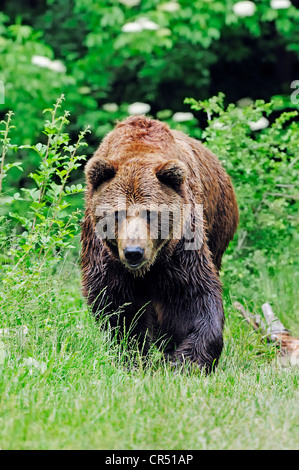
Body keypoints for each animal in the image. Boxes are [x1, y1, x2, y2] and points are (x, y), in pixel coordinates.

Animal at [80, 114, 239, 370]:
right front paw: (132, 354)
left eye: (150, 213)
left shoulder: (182, 246)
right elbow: (118, 305)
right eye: (117, 213)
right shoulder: (105, 253)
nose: (134, 252)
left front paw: (185, 360)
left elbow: (192, 297)